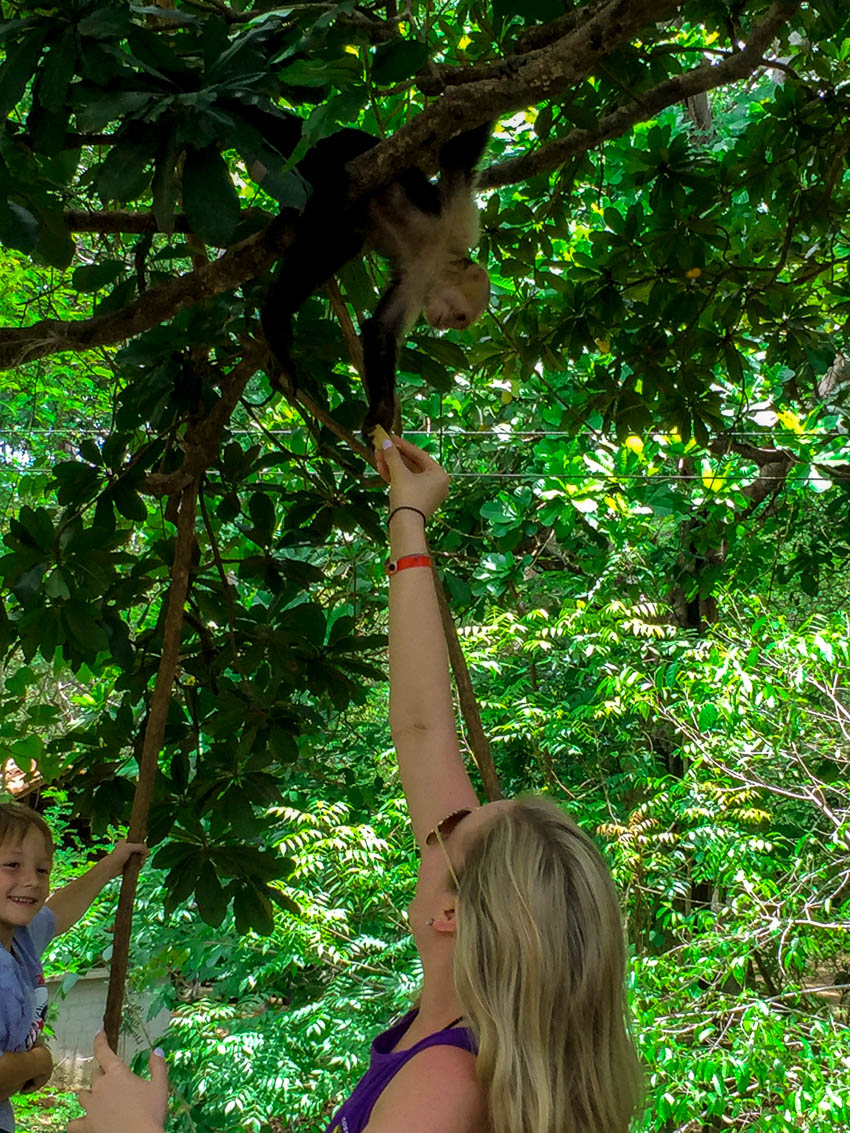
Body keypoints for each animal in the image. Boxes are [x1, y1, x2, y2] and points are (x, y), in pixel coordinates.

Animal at [256, 121, 489, 439]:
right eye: (461, 317)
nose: (445, 326)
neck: (438, 258)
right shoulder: (458, 218)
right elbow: (461, 153)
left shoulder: (417, 284)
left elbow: (381, 329)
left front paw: (381, 411)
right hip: (329, 157)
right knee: (336, 218)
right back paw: (275, 318)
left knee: (341, 238)